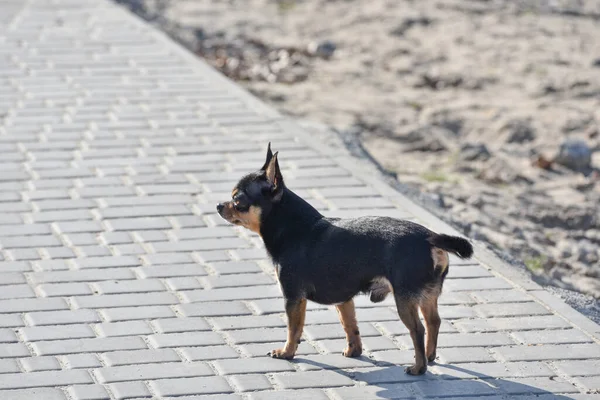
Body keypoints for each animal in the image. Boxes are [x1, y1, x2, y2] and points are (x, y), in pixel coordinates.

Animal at [217, 144, 474, 376]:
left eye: (237, 200)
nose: (219, 205)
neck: (292, 227)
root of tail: (430, 237)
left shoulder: (293, 298)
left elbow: (294, 329)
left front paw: (286, 352)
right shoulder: (344, 300)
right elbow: (350, 325)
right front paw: (354, 351)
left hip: (405, 298)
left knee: (418, 329)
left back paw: (418, 367)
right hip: (428, 295)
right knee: (433, 322)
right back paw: (429, 357)